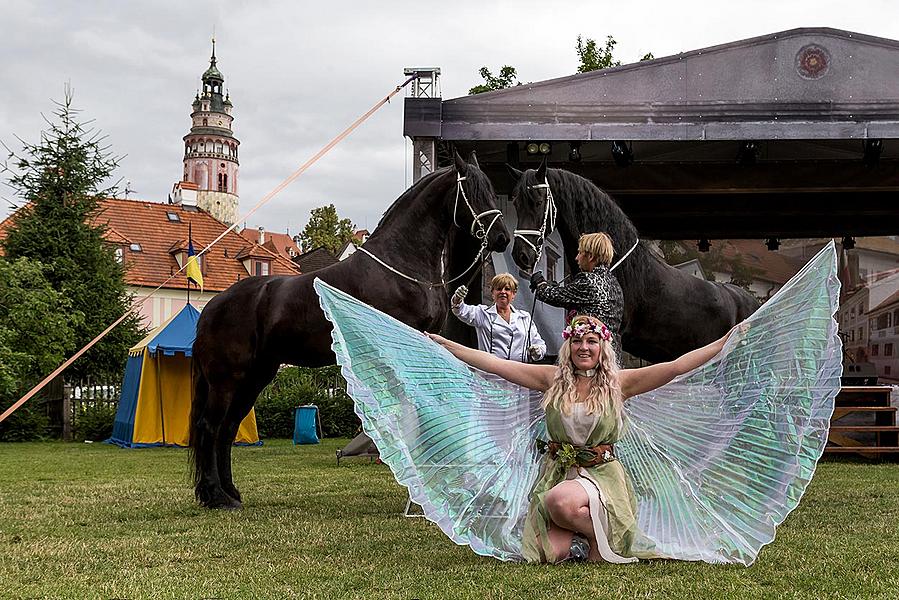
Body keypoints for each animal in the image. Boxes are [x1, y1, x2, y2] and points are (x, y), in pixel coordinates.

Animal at [192, 152, 510, 508]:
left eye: (490, 189)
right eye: (473, 191)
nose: (502, 238)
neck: (401, 265)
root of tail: (212, 307)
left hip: (255, 377)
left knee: (228, 428)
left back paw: (230, 493)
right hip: (226, 379)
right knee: (210, 427)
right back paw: (215, 495)